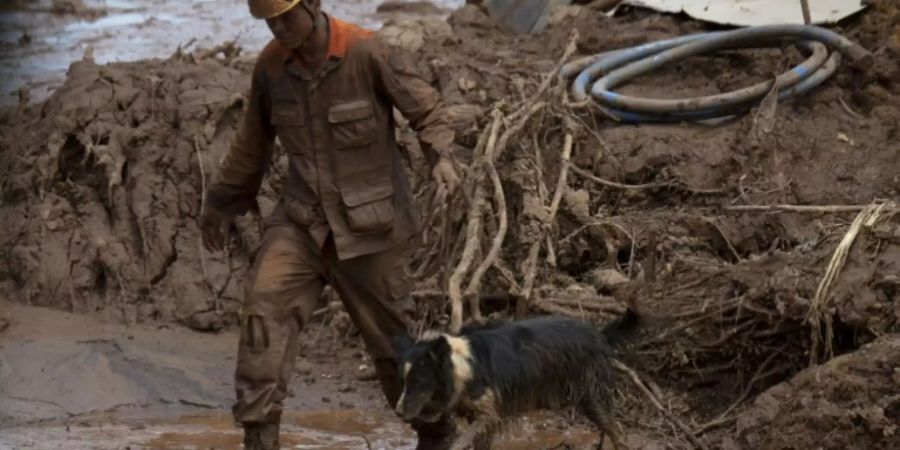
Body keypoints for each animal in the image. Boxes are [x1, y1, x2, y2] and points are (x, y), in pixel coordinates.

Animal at [390, 310, 636, 450]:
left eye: (419, 382)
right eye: (403, 381)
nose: (398, 413)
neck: (461, 367)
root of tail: (599, 333)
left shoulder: (490, 415)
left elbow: (461, 442)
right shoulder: (483, 420)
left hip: (593, 397)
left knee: (618, 433)